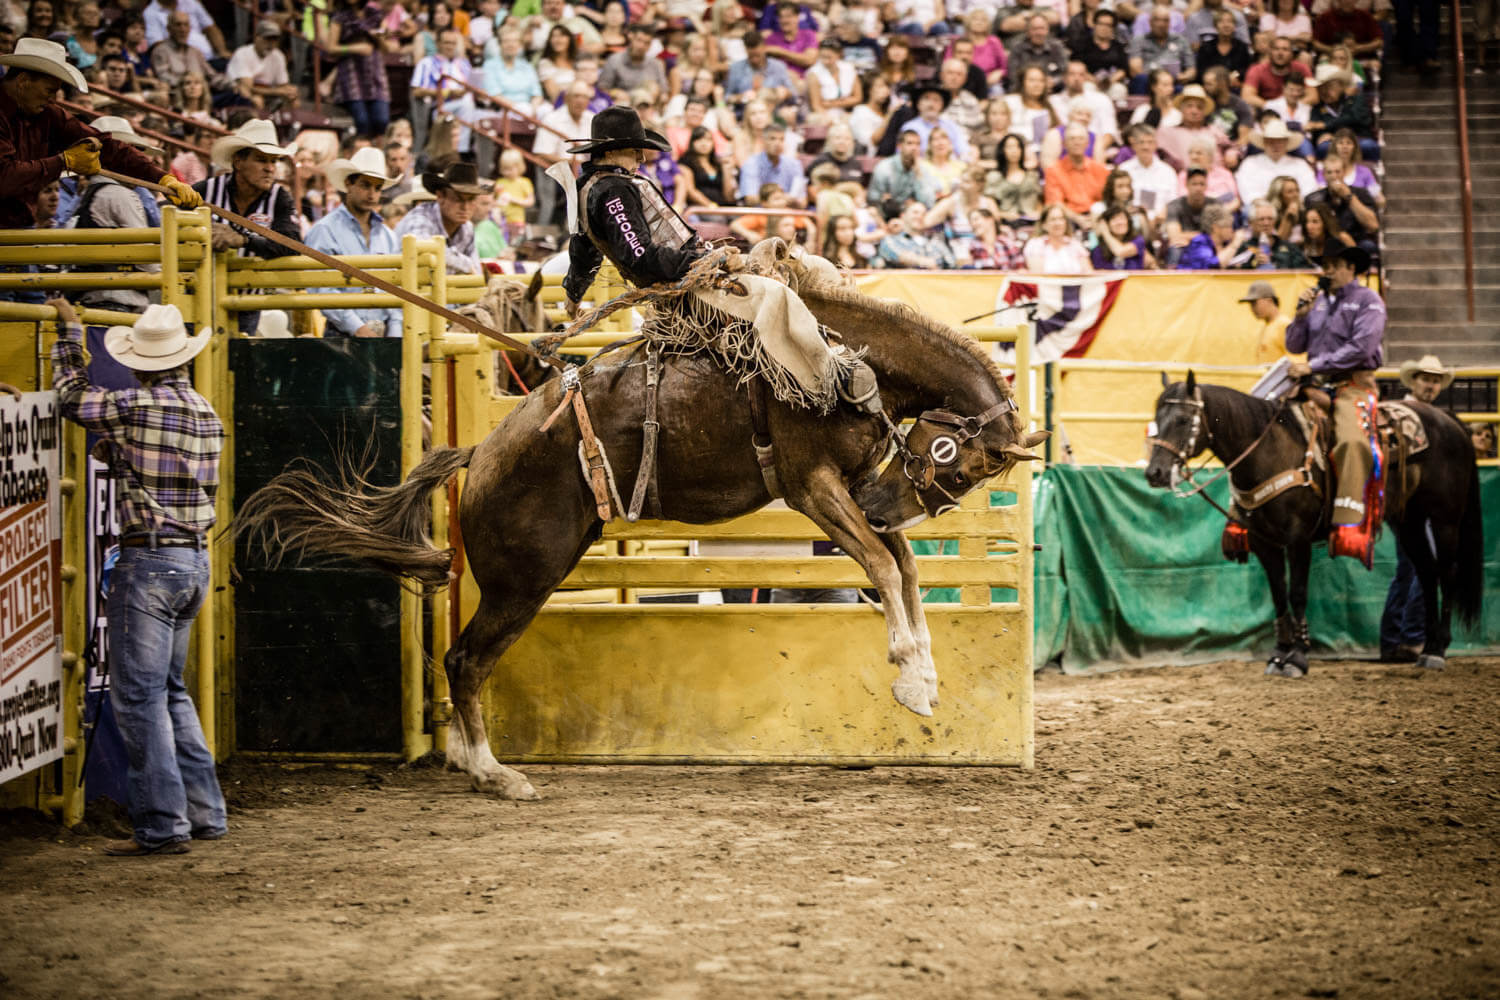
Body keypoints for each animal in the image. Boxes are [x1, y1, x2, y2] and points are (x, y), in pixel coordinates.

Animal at [1146, 374, 1476, 680]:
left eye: (1183, 419)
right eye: (1156, 420)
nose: (1154, 473)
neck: (1269, 452)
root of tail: (1448, 418)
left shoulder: (1298, 538)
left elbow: (1297, 593)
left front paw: (1297, 657)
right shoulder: (1264, 542)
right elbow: (1279, 595)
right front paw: (1278, 654)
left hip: (1445, 520)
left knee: (1447, 573)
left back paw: (1437, 651)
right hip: (1409, 522)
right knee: (1427, 572)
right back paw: (1428, 648)